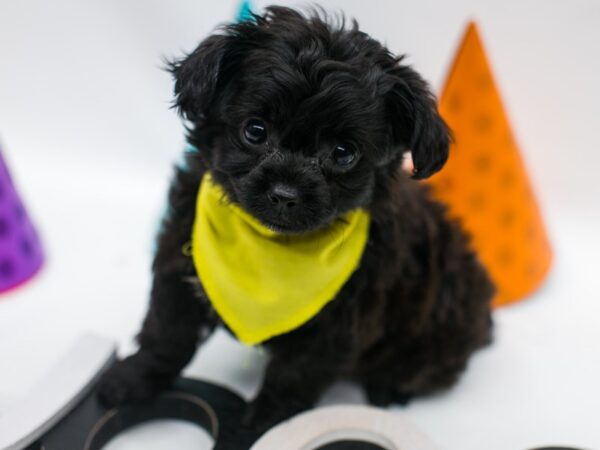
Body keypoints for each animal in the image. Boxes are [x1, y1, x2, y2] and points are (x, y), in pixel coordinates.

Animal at [97, 6, 492, 428]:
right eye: (255, 131)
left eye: (343, 153)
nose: (285, 194)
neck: (269, 248)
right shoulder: (180, 257)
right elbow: (166, 332)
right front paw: (132, 380)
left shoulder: (336, 326)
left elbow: (293, 377)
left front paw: (263, 424)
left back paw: (390, 390)